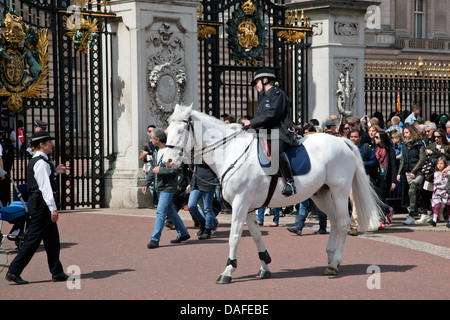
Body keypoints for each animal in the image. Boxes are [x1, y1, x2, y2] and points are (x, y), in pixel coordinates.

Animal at [162, 104, 384, 284]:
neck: (231, 152)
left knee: (344, 222)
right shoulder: (248, 207)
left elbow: (235, 236)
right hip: (320, 194)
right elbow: (256, 235)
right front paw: (264, 266)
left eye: (181, 130)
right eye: (167, 130)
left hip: (339, 191)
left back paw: (335, 262)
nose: (167, 161)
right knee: (335, 221)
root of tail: (342, 141)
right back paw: (330, 261)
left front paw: (228, 270)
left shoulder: (240, 204)